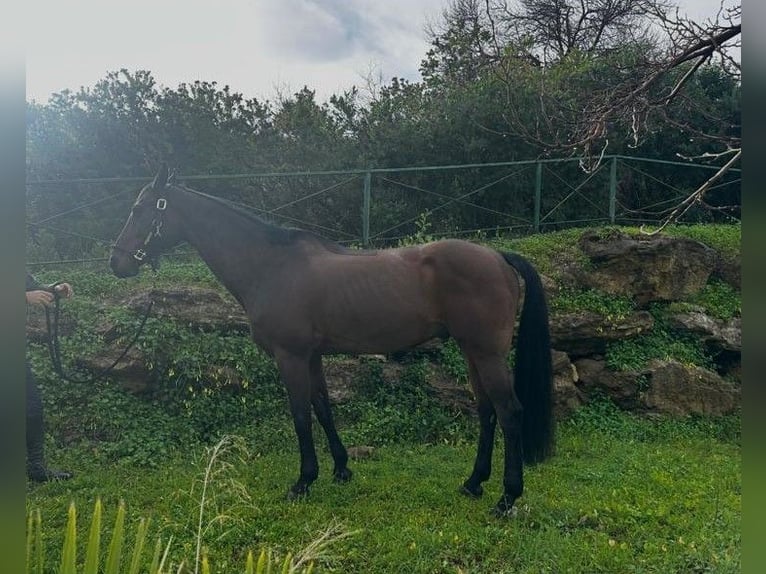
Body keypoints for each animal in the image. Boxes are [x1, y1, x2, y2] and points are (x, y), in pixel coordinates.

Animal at [109, 164, 554, 516]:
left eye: (139, 210)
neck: (270, 266)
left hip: (487, 352)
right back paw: (473, 483)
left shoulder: (289, 356)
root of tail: (497, 256)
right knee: (487, 411)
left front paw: (303, 481)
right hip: (471, 351)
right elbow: (322, 408)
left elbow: (300, 415)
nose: (116, 262)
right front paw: (341, 469)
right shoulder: (312, 356)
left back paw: (507, 498)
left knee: (510, 412)